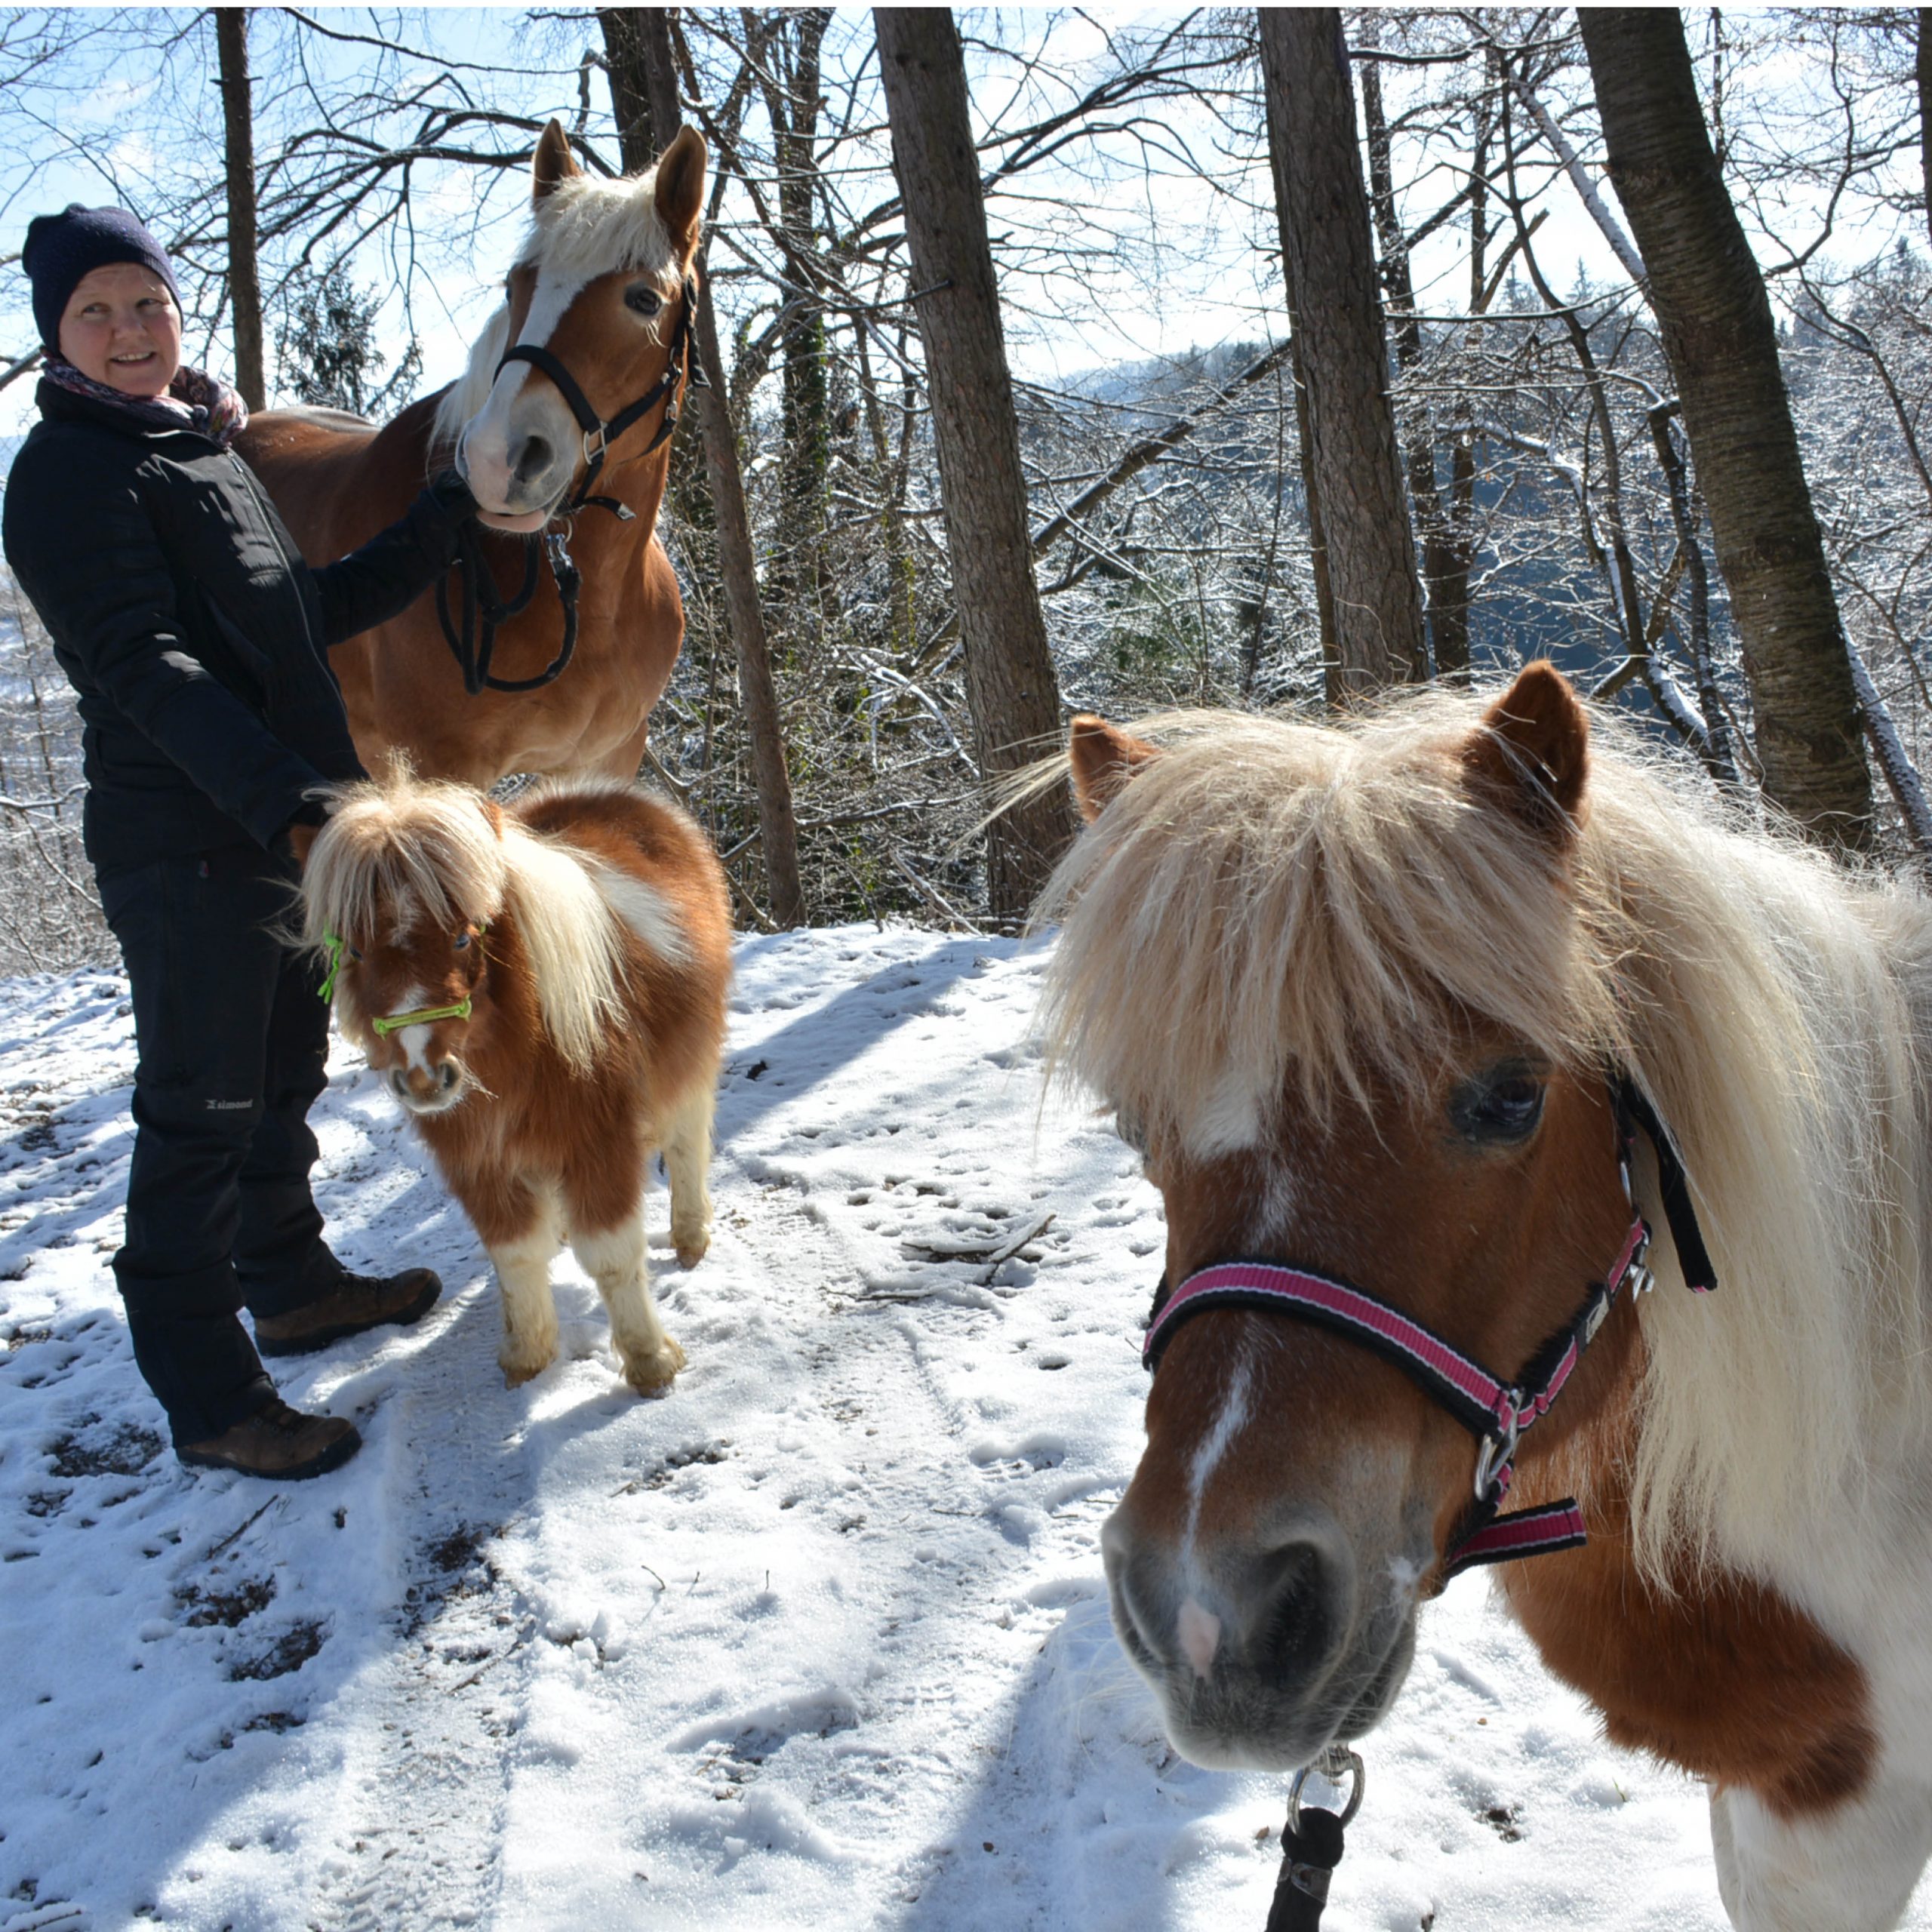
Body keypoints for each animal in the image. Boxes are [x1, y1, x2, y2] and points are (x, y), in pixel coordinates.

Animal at [297, 764, 726, 1391]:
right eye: (353, 949)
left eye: (461, 937)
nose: (424, 1078)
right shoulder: (478, 1160)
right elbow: (516, 1255)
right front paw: (527, 1352)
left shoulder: (597, 1145)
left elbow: (612, 1256)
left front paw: (649, 1360)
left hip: (691, 1060)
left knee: (688, 1140)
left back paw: (691, 1236)